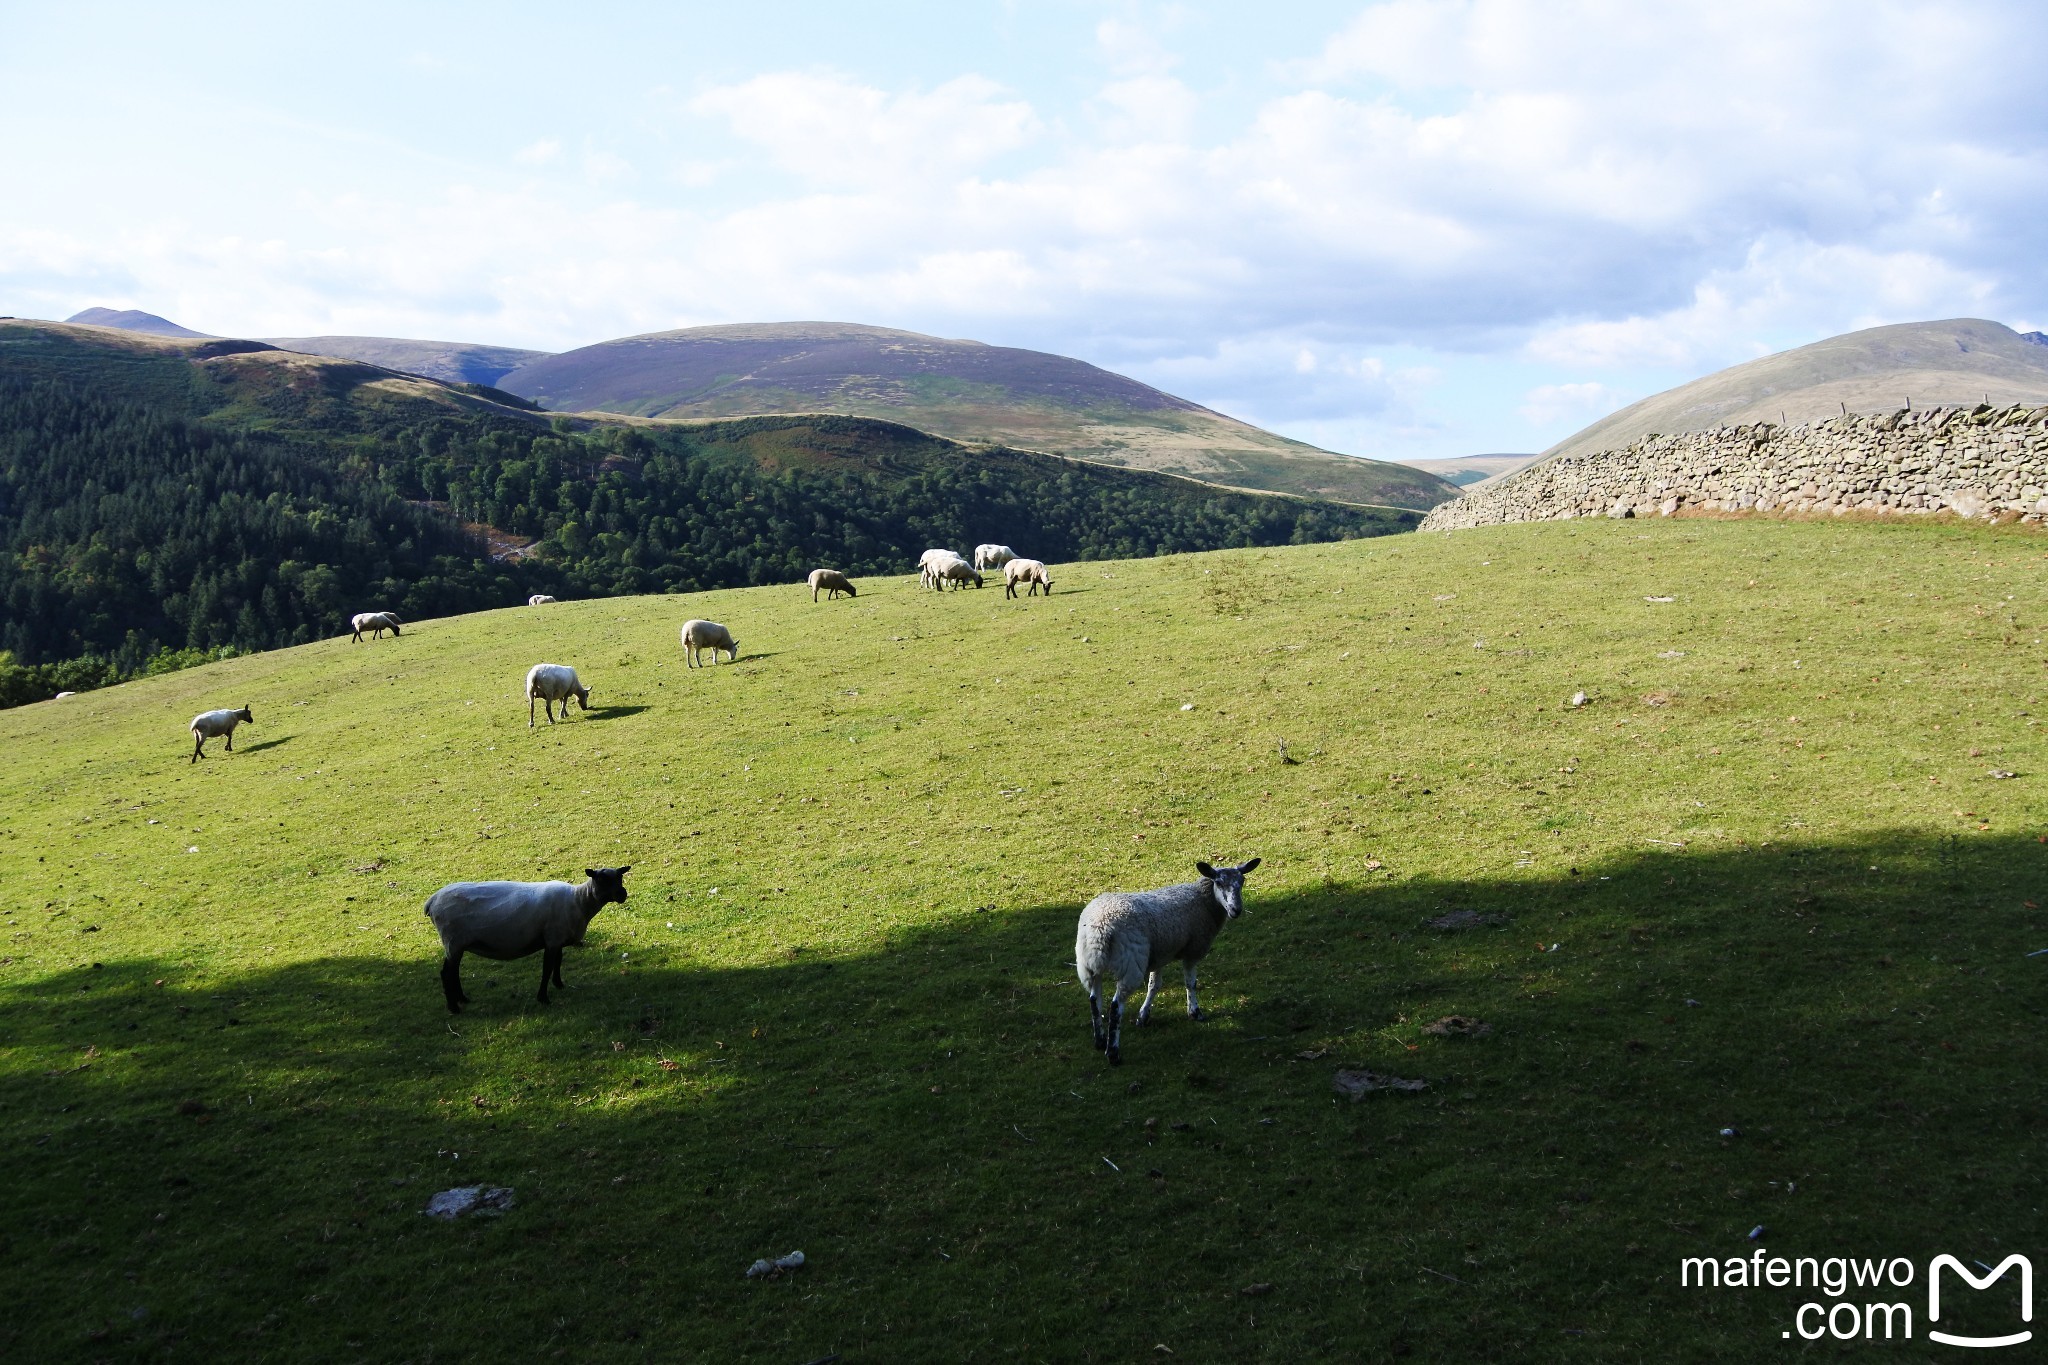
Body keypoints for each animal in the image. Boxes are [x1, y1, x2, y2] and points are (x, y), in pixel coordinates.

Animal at [425, 863, 630, 1015]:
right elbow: (547, 968)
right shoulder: (552, 939)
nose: (622, 894)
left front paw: (559, 984)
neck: (578, 901)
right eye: (601, 879)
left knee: (453, 971)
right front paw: (543, 998)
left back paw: (462, 999)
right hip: (452, 941)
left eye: (620, 877)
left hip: (456, 944)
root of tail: (432, 901)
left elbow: (558, 962)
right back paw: (454, 1008)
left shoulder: (557, 938)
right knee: (446, 973)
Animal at [1073, 855, 1261, 1064]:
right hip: (1131, 963)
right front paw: (1195, 1012)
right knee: (1115, 1007)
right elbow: (1190, 984)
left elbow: (1154, 985)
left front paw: (1143, 1016)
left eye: (1242, 882)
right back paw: (1113, 1053)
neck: (1203, 901)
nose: (1237, 910)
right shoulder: (1193, 950)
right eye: (1219, 883)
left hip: (1089, 965)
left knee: (1094, 1000)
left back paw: (1099, 1041)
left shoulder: (1160, 954)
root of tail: (1099, 929)